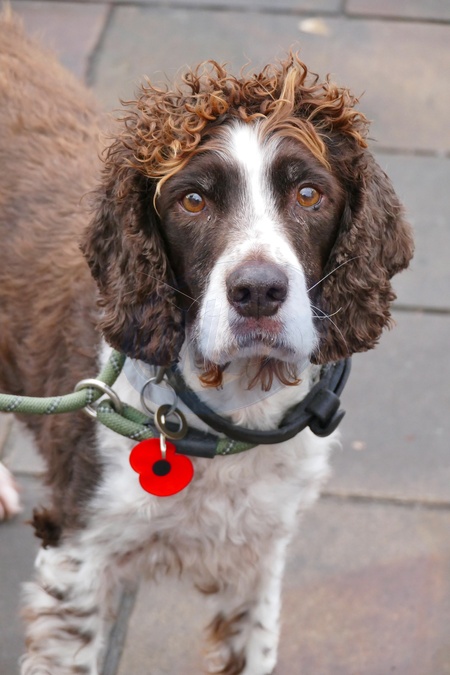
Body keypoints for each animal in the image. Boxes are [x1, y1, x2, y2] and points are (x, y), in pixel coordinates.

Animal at [0, 11, 413, 675]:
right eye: (191, 200)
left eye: (309, 194)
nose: (258, 291)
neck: (228, 412)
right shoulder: (76, 557)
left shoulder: (259, 556)